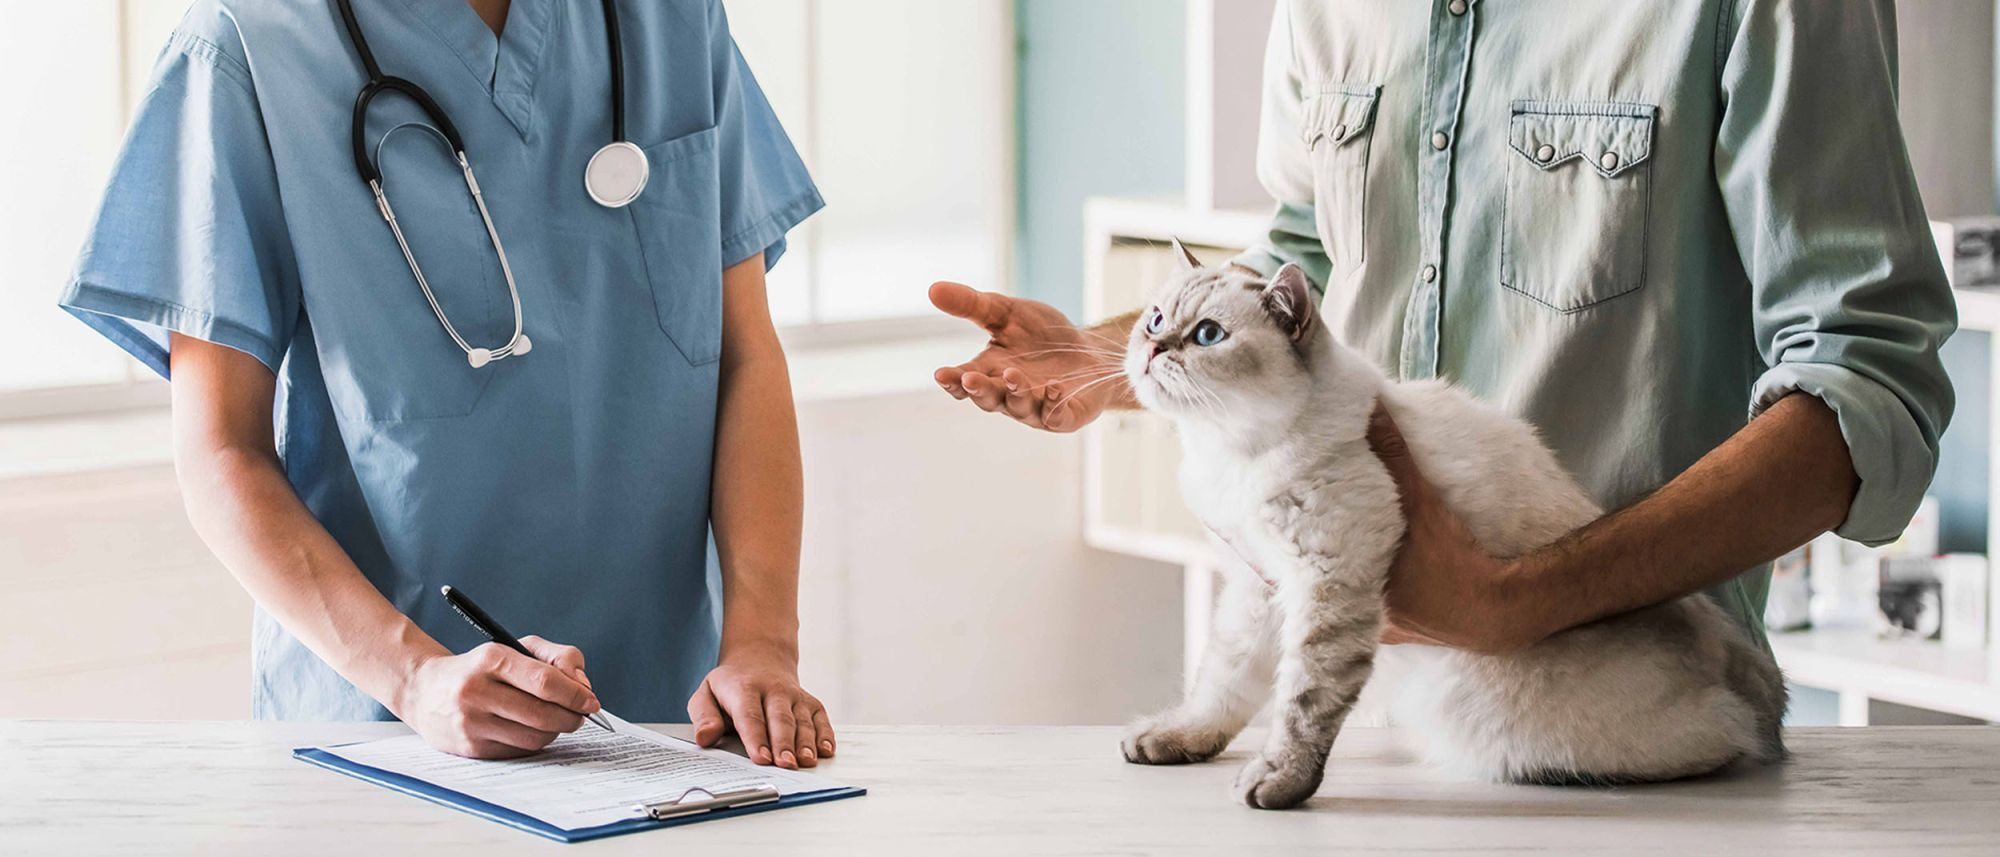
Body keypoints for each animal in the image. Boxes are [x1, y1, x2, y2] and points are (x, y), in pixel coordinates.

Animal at [1120, 241, 1792, 808]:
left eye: (1208, 335)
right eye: (1154, 320)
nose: (1153, 351)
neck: (1229, 452)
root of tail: (1728, 654)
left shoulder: (1327, 582)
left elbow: (1303, 701)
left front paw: (1279, 783)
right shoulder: (1258, 586)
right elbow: (1223, 681)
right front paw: (1176, 739)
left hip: (1490, 719)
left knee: (1732, 740)